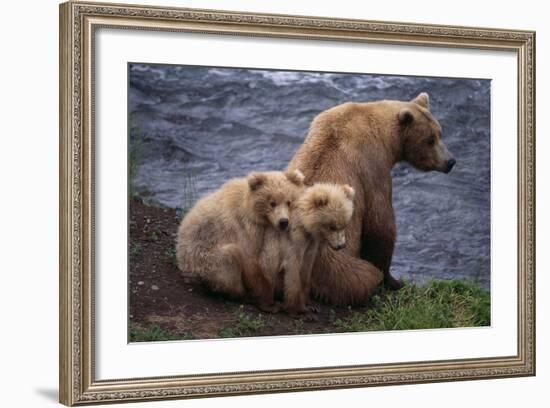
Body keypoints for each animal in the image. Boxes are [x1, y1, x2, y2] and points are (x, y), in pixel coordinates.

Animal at [177, 168, 306, 310]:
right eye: (272, 203)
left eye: (289, 202)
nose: (283, 222)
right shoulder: (245, 228)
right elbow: (249, 260)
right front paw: (269, 302)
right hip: (203, 257)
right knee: (230, 257)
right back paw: (240, 294)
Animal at [282, 182, 356, 318]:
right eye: (332, 226)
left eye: (344, 224)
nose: (341, 245)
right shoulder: (294, 241)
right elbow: (293, 269)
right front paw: (298, 310)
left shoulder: (311, 244)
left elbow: (306, 270)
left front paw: (310, 305)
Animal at [288, 91, 458, 304]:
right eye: (430, 139)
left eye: (440, 133)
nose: (450, 161)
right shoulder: (372, 169)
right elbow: (380, 225)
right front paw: (395, 281)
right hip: (334, 264)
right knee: (361, 275)